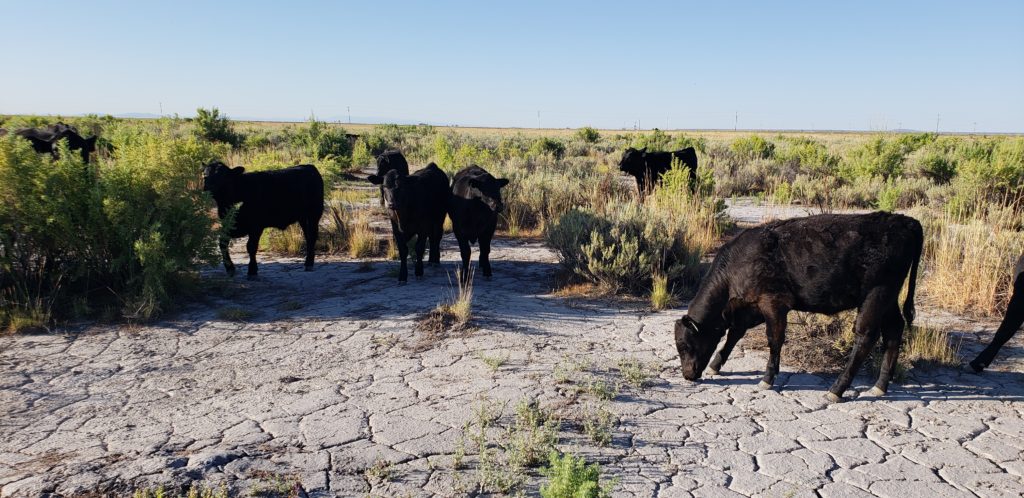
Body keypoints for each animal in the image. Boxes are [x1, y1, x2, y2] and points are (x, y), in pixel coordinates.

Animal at [675, 210, 925, 401]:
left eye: (685, 346)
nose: (687, 375)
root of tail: (904, 221)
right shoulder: (752, 306)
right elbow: (735, 333)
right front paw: (716, 364)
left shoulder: (773, 303)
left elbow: (774, 340)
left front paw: (767, 379)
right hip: (889, 298)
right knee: (894, 330)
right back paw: (880, 385)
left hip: (877, 293)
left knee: (866, 336)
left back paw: (837, 389)